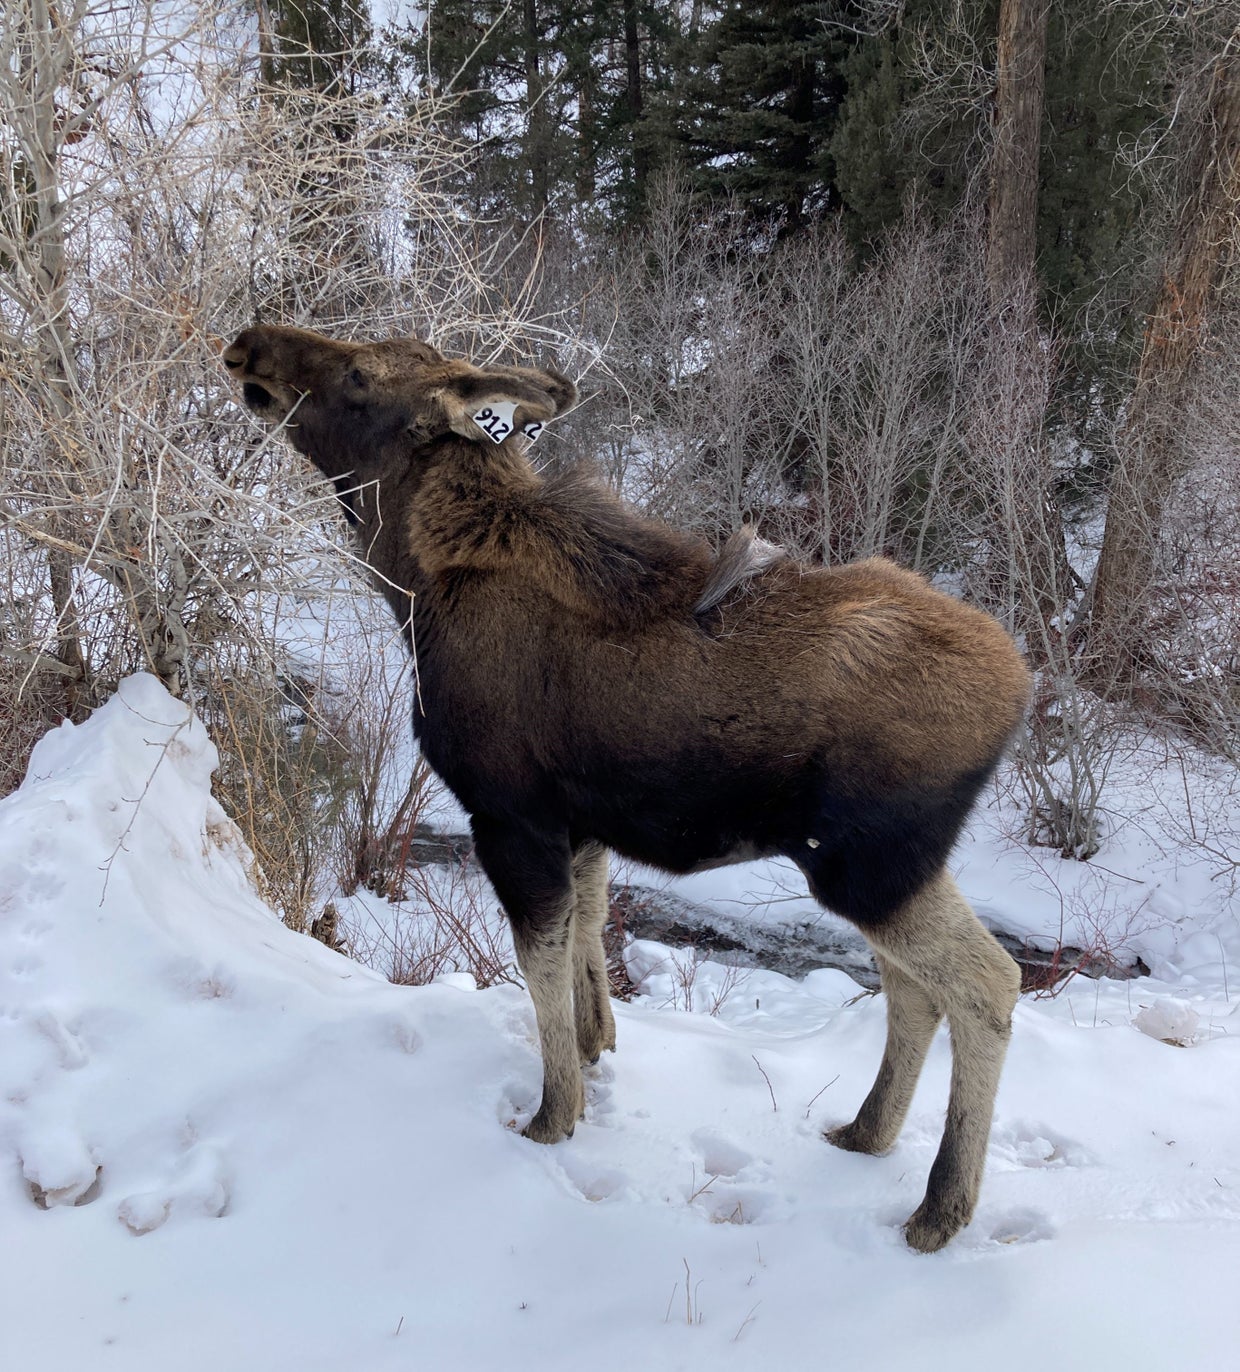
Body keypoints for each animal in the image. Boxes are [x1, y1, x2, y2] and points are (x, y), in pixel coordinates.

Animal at [223, 324, 1030, 1252]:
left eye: (358, 375)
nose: (248, 345)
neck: (415, 583)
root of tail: (1021, 691)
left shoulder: (508, 814)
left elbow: (536, 962)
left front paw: (552, 1115)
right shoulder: (580, 826)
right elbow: (587, 939)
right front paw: (595, 1049)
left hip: (868, 864)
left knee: (987, 982)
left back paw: (941, 1205)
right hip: (893, 868)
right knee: (913, 987)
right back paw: (867, 1131)